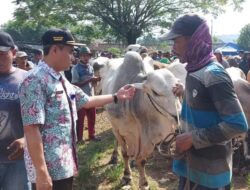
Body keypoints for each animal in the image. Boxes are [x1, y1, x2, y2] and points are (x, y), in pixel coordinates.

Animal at [93, 51, 181, 189]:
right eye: (155, 92)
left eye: (177, 90)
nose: (178, 115)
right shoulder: (120, 129)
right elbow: (124, 153)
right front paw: (126, 176)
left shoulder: (148, 141)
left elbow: (142, 160)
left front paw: (144, 183)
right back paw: (114, 157)